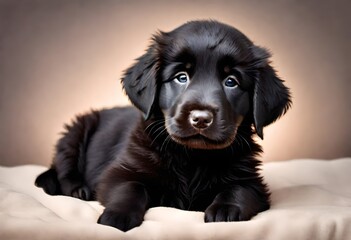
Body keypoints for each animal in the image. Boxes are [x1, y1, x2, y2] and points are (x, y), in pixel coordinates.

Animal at [35, 20, 292, 231]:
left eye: (231, 82)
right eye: (181, 77)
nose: (200, 118)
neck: (193, 157)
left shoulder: (252, 182)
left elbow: (238, 190)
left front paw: (225, 209)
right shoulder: (118, 172)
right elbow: (130, 187)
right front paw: (118, 215)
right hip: (76, 132)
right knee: (64, 168)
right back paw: (77, 189)